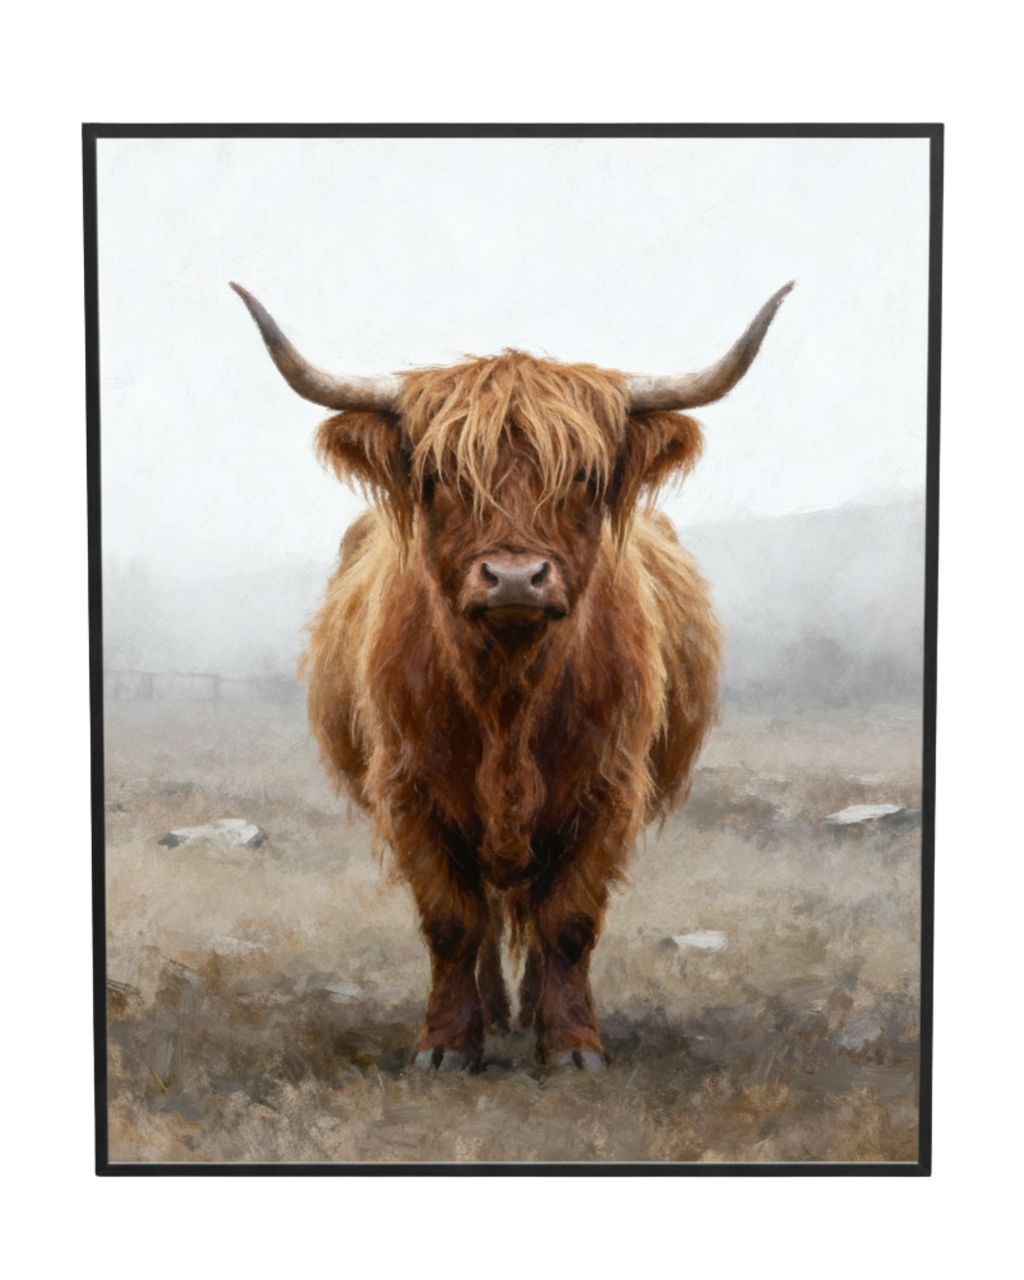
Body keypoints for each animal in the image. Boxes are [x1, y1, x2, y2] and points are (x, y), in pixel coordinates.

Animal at [231, 280, 793, 1071]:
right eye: (440, 476)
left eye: (584, 476)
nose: (516, 577)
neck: (508, 696)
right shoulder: (410, 789)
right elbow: (451, 923)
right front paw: (446, 1045)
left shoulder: (608, 787)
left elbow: (568, 922)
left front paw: (571, 1044)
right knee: (492, 912)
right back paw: (496, 1015)